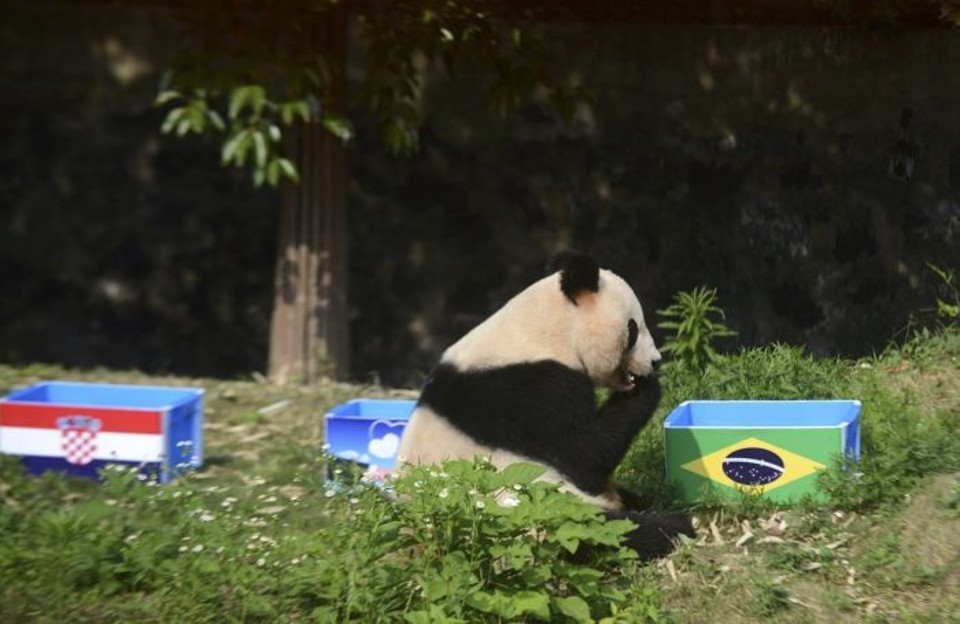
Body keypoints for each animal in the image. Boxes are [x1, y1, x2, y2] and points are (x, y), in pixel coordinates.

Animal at [397, 250, 695, 560]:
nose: (655, 361)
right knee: (606, 529)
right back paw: (676, 525)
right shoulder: (530, 392)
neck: (546, 330)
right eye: (633, 329)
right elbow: (586, 455)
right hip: (535, 511)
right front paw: (648, 386)